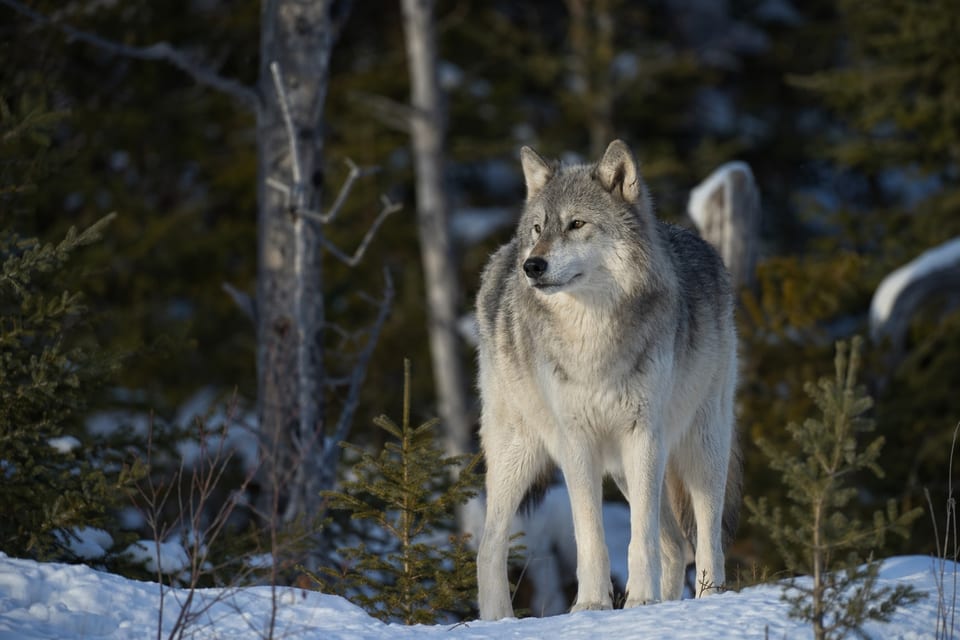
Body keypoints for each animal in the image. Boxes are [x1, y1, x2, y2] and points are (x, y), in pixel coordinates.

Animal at [475, 139, 740, 620]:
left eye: (576, 224)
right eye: (538, 228)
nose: (532, 265)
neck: (592, 339)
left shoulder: (644, 436)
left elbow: (640, 538)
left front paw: (640, 601)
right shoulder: (577, 443)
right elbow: (591, 537)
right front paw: (592, 605)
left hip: (699, 447)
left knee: (700, 538)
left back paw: (704, 602)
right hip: (519, 453)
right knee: (489, 545)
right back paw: (498, 619)